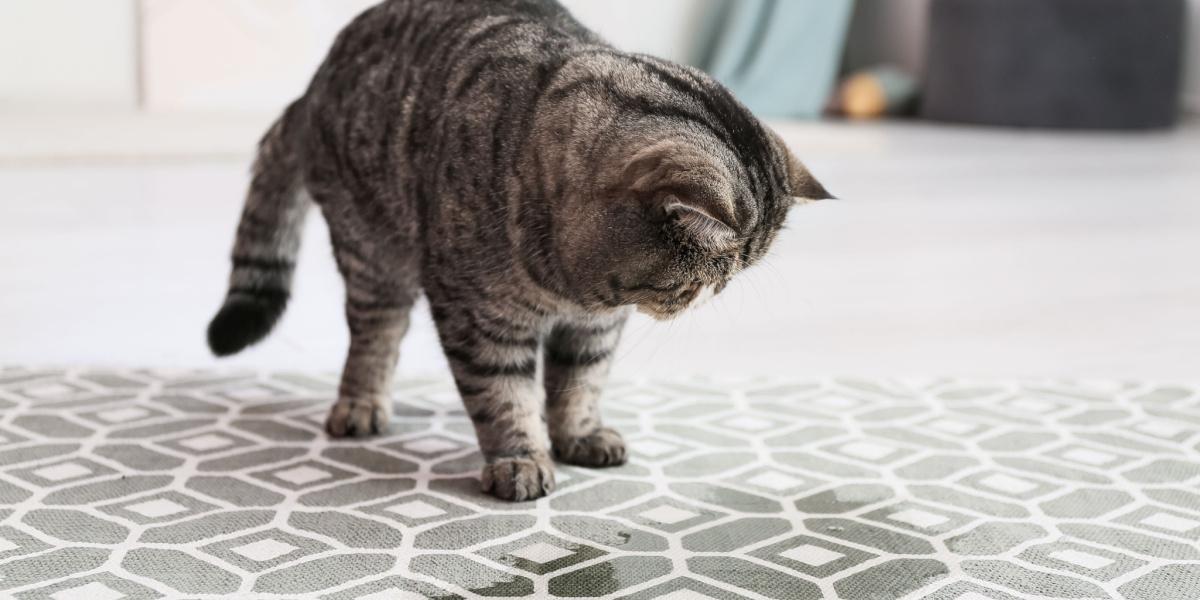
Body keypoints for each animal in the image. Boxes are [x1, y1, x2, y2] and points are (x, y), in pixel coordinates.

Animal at [206, 0, 830, 501]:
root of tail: (313, 85)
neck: (573, 285)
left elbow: (580, 384)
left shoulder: (596, 328)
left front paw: (579, 436)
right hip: (372, 257)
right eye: (701, 279)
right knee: (373, 339)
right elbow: (504, 396)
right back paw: (361, 406)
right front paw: (520, 460)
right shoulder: (480, 319)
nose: (714, 293)